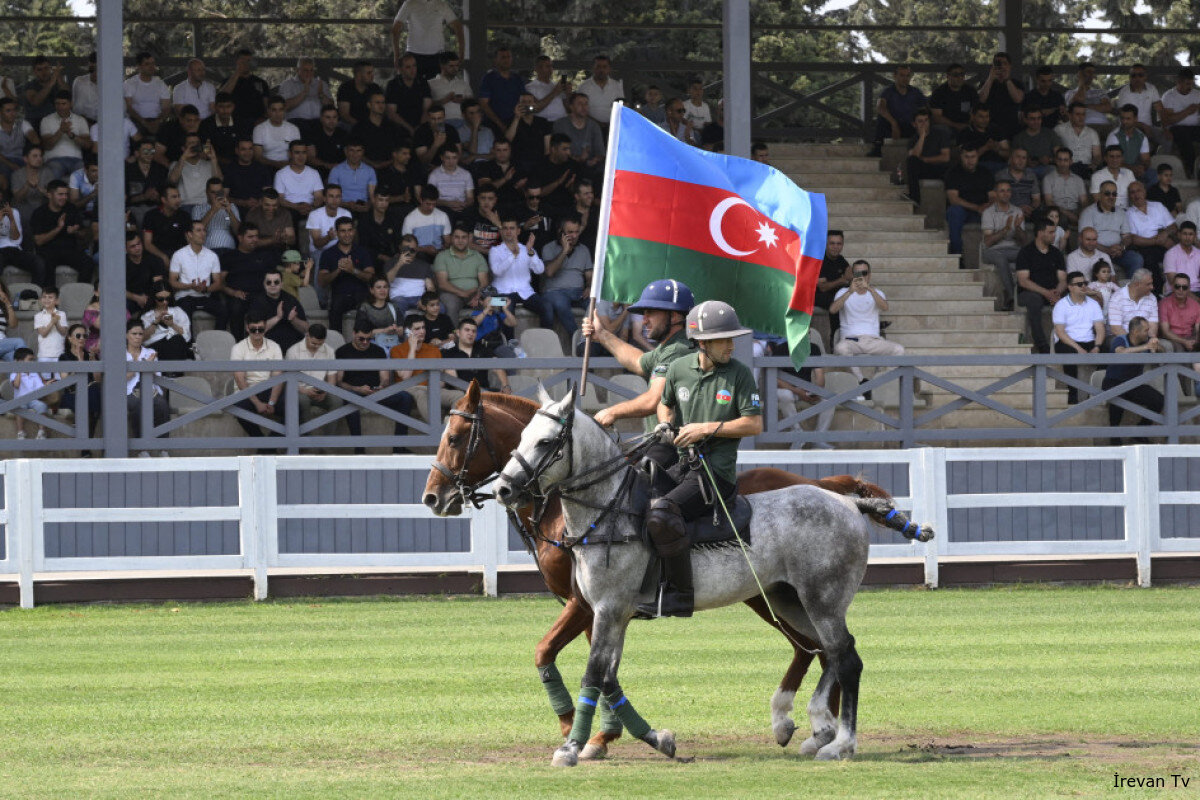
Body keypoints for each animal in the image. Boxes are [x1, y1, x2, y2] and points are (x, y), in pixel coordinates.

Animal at [427, 381, 912, 758]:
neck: (604, 508)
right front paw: (643, 738)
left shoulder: (596, 606)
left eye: (457, 437)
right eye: (521, 438)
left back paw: (837, 740)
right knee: (823, 649)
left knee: (841, 655)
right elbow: (606, 674)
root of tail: (845, 500)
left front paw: (578, 739)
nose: (433, 498)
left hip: (817, 597)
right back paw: (811, 728)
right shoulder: (603, 609)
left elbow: (578, 666)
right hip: (783, 596)